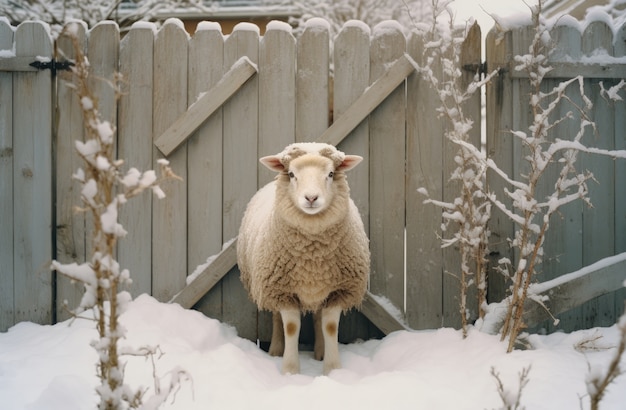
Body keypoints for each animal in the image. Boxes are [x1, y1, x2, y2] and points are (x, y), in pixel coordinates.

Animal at [236, 142, 368, 374]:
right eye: (291, 174)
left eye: (330, 174)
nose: (311, 198)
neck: (312, 254)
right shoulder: (281, 290)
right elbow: (290, 327)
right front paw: (290, 370)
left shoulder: (339, 290)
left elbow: (330, 326)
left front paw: (332, 368)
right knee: (276, 319)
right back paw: (276, 350)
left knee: (318, 317)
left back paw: (320, 352)